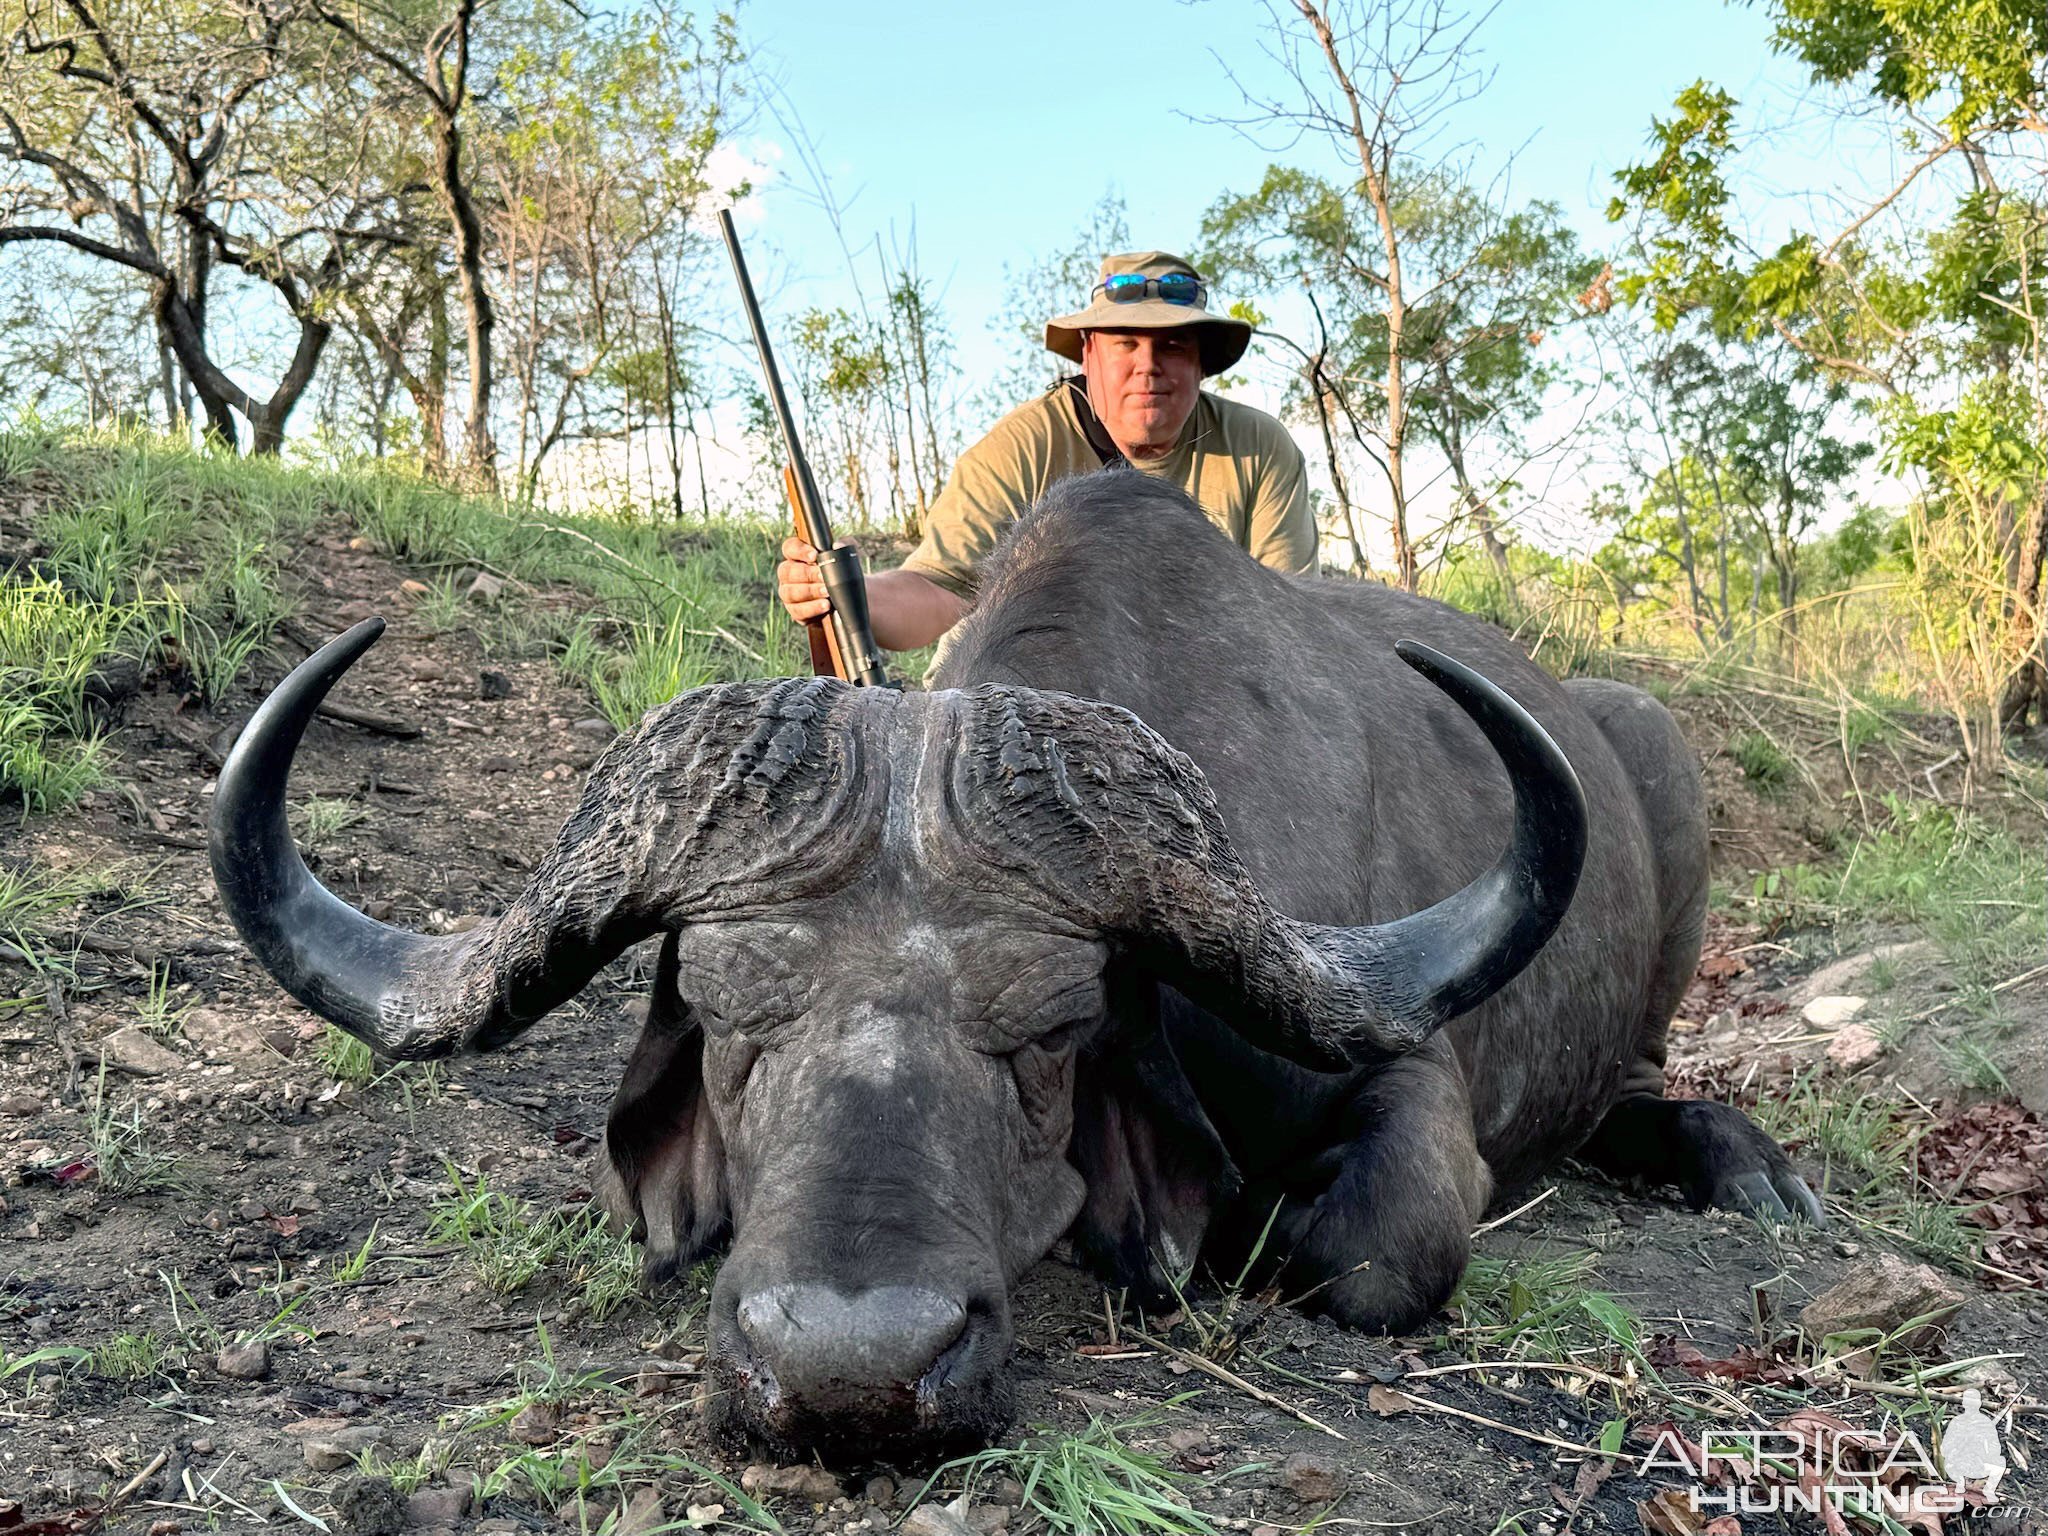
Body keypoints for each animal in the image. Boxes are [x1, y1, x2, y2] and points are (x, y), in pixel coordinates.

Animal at [216, 473, 1818, 1466]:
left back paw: (1752, 1171)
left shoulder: (1401, 1069)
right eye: (725, 1017)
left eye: (1052, 1031)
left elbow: (1369, 1246)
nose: (848, 1373)